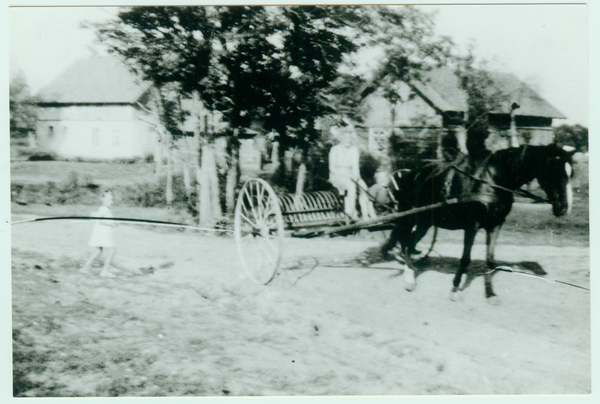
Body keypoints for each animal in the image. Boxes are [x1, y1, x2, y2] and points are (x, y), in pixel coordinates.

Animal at [382, 144, 576, 302]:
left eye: (570, 173)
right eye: (555, 170)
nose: (564, 208)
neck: (493, 179)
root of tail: (410, 172)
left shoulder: (495, 225)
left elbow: (489, 259)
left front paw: (490, 294)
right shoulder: (472, 225)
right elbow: (466, 258)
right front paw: (455, 289)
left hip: (426, 220)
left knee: (410, 241)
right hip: (410, 216)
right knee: (405, 240)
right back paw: (409, 279)